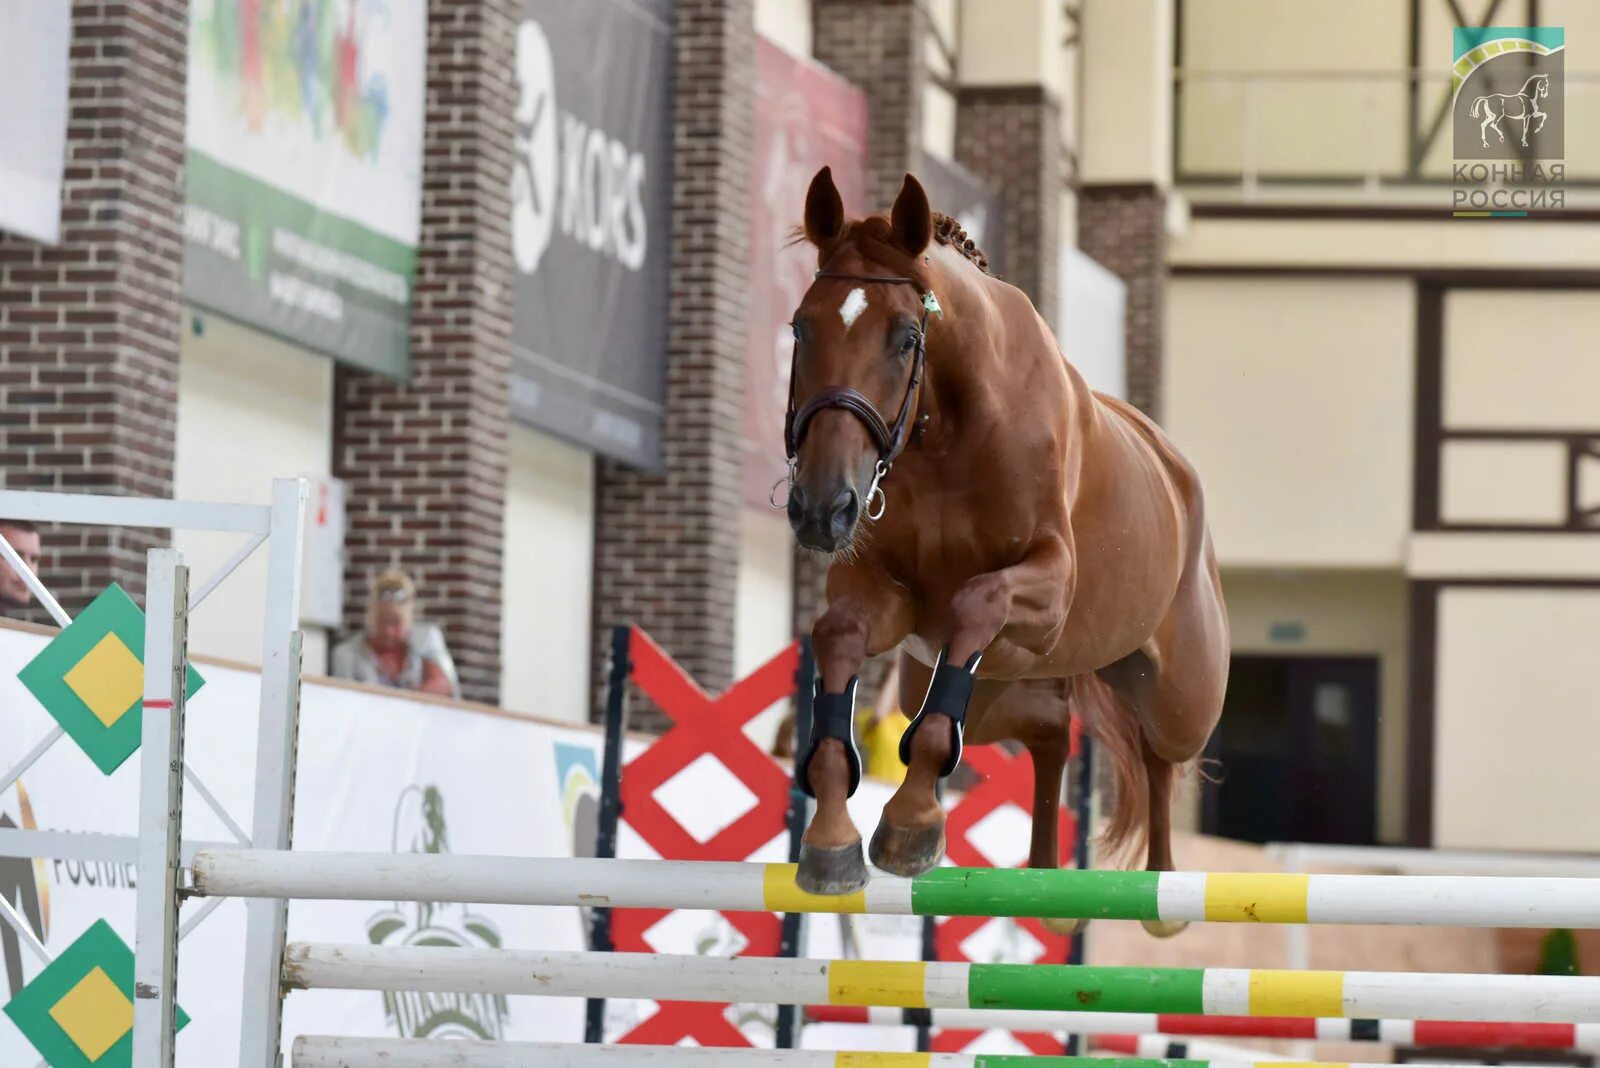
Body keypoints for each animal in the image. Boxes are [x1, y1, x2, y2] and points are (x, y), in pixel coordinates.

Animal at [780, 168, 1228, 933]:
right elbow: (838, 636)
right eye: (801, 327)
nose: (820, 508)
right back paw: (1050, 882)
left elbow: (975, 602)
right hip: (997, 685)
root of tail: (1177, 470)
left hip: (1178, 695)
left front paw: (912, 823)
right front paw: (833, 840)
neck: (946, 429)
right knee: (1048, 732)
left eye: (905, 337)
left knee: (1158, 753)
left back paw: (1162, 891)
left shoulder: (1046, 590)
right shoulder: (890, 597)